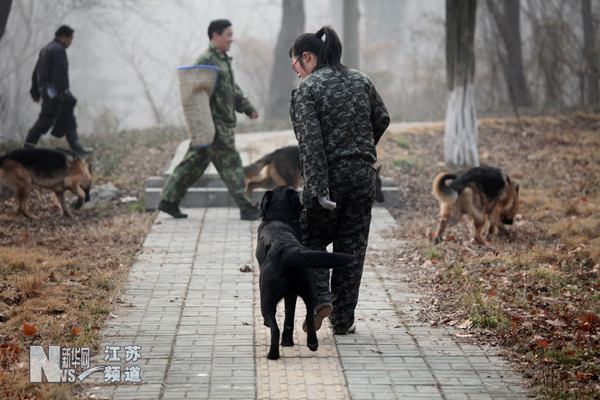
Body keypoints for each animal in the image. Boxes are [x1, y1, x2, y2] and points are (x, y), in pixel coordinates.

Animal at [256, 186, 352, 360]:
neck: (279, 218)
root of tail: (289, 251)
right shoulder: (292, 294)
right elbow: (289, 317)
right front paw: (288, 342)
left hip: (266, 299)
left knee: (274, 327)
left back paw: (272, 354)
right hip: (309, 290)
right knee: (309, 314)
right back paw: (312, 343)